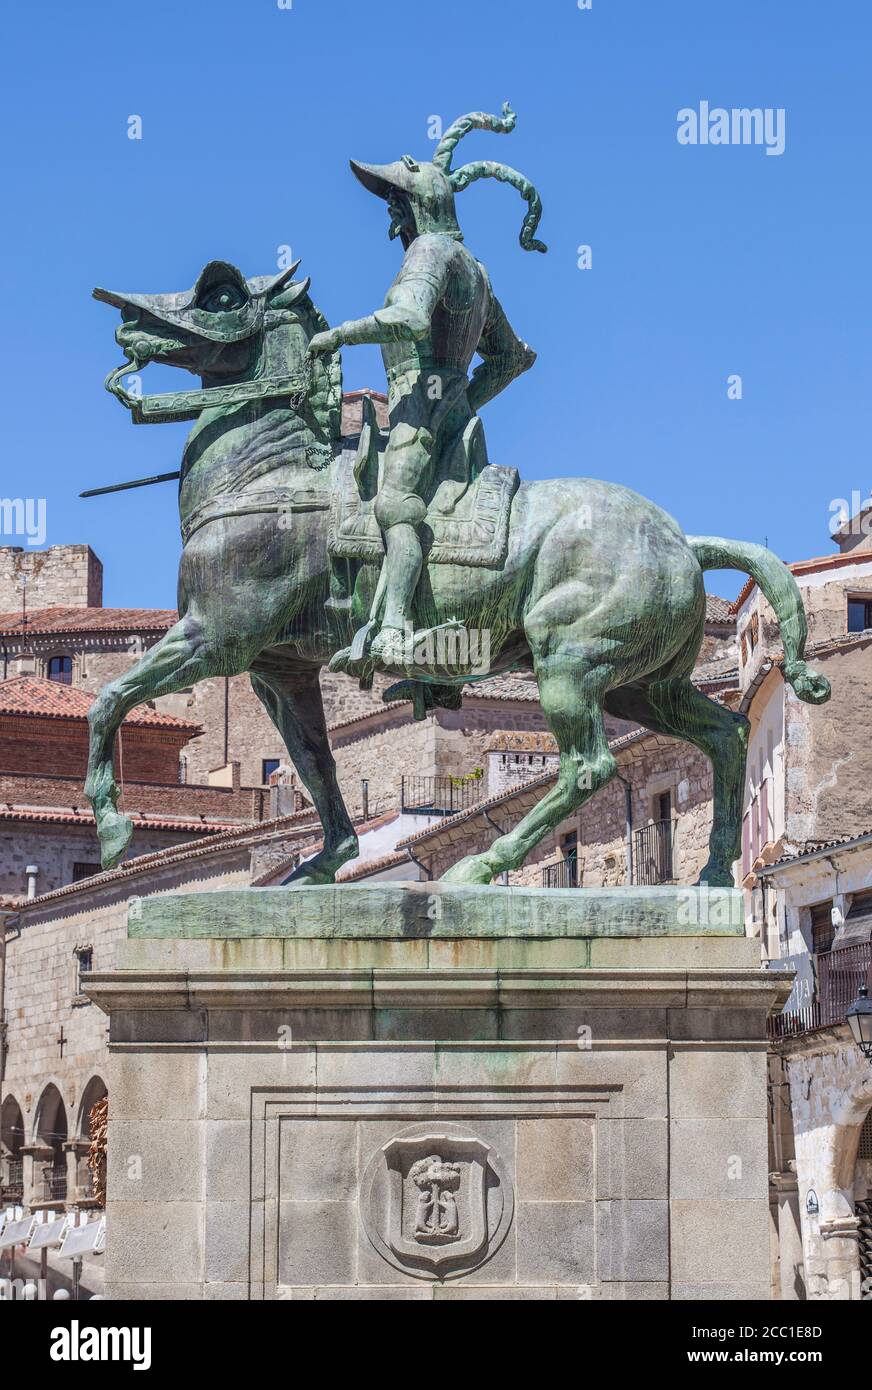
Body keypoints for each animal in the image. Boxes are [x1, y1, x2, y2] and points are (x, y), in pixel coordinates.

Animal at [86, 259, 834, 884]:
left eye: (220, 296)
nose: (124, 318)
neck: (270, 478)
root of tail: (682, 541)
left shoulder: (214, 639)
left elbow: (109, 701)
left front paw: (114, 828)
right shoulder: (279, 670)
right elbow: (317, 763)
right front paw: (327, 860)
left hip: (570, 665)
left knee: (589, 767)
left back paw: (483, 865)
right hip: (643, 688)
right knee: (726, 737)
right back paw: (712, 873)